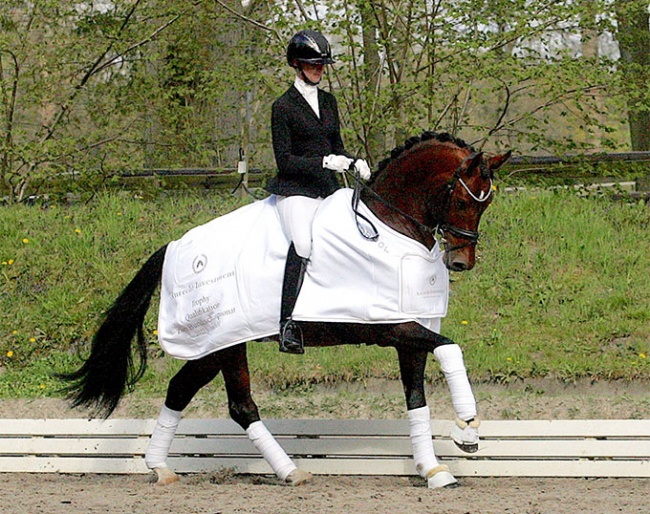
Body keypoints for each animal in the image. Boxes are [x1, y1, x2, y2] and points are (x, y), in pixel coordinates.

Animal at [58, 130, 508, 486]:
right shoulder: (392, 327)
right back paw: (290, 471)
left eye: (486, 206)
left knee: (181, 390)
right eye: (463, 202)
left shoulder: (408, 333)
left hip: (214, 344)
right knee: (240, 405)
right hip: (226, 342)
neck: (389, 225)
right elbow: (451, 349)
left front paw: (434, 469)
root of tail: (173, 247)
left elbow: (417, 400)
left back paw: (161, 467)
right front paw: (467, 429)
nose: (461, 263)